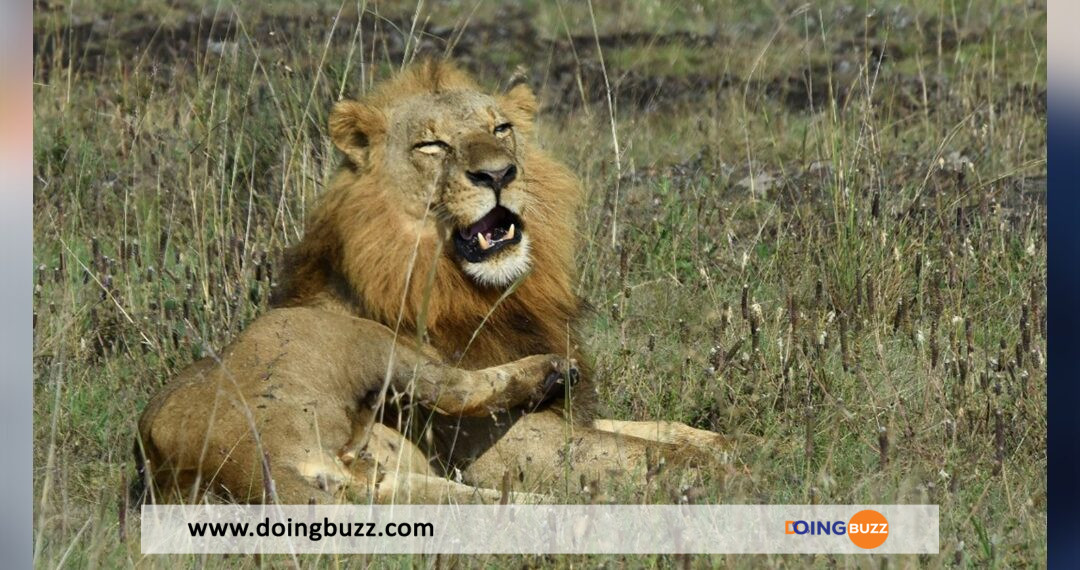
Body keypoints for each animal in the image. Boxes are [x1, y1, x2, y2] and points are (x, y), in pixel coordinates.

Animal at [132, 60, 725, 503]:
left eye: (501, 129)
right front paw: (730, 466)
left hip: (394, 476)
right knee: (461, 394)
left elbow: (667, 430)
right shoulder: (506, 445)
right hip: (353, 344)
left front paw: (718, 441)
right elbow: (648, 453)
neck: (482, 293)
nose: (498, 174)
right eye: (432, 146)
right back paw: (552, 375)